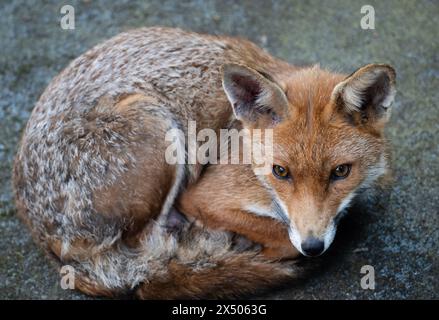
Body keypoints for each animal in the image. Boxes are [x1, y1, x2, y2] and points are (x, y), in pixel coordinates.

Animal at [12, 26, 398, 298]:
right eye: (280, 172)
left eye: (341, 172)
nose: (313, 246)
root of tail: (47, 241)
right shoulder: (202, 196)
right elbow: (281, 236)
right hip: (157, 126)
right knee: (152, 256)